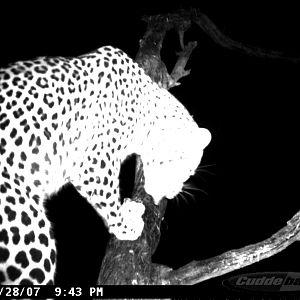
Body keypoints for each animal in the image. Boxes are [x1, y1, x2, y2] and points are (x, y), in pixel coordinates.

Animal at [0, 45, 211, 284]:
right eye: (186, 169)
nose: (173, 194)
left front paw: (128, 209)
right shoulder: (93, 163)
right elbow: (108, 199)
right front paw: (125, 226)